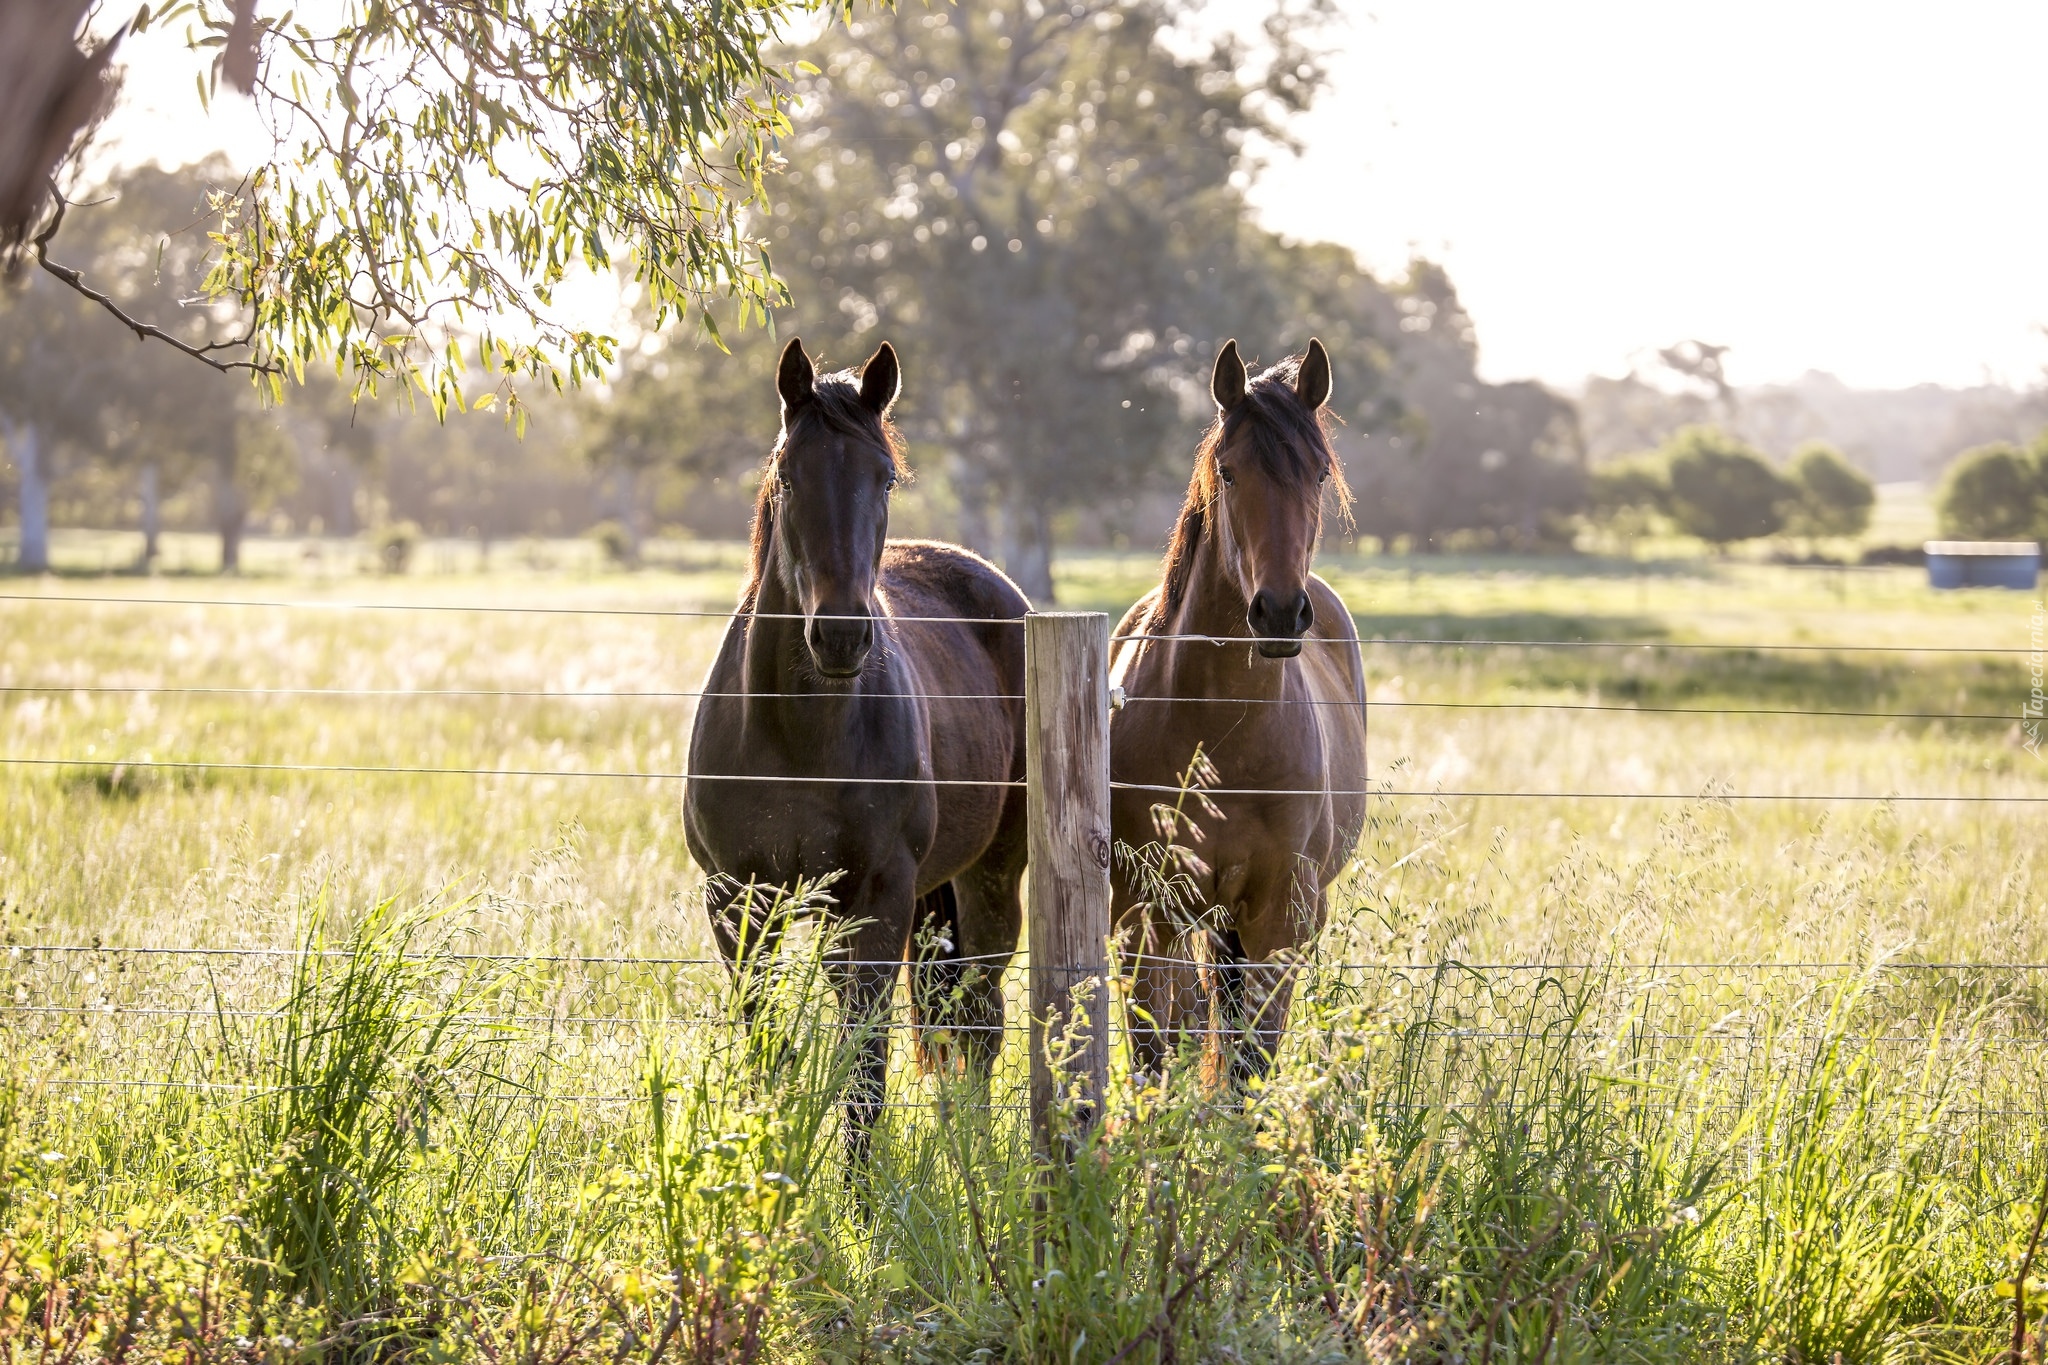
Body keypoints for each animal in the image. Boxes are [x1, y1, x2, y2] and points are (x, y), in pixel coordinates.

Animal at [688, 335, 1032, 1162]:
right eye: (788, 474)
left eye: (885, 476)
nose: (841, 635)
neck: (795, 736)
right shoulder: (737, 902)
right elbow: (766, 1047)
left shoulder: (876, 902)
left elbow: (864, 1069)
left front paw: (863, 1186)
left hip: (991, 878)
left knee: (979, 1022)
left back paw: (973, 1158)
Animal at [1114, 339, 1368, 1088]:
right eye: (1229, 471)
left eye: (1319, 472)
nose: (1280, 612)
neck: (1222, 726)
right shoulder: (1148, 914)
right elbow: (1153, 1054)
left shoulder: (1280, 920)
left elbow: (1249, 1066)